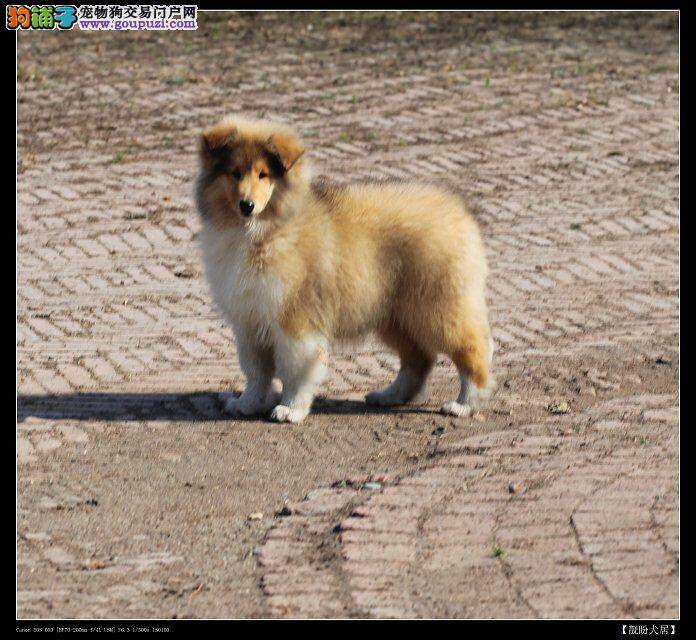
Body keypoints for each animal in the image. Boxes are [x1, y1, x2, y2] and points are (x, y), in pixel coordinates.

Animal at [193, 116, 492, 424]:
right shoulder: (249, 322)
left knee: (474, 350)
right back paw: (388, 396)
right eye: (235, 173)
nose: (247, 205)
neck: (264, 231)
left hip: (438, 308)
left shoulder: (294, 320)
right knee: (418, 359)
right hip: (395, 315)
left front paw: (291, 409)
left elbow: (296, 370)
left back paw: (465, 404)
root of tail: (460, 213)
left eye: (264, 175)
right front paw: (247, 403)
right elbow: (256, 372)